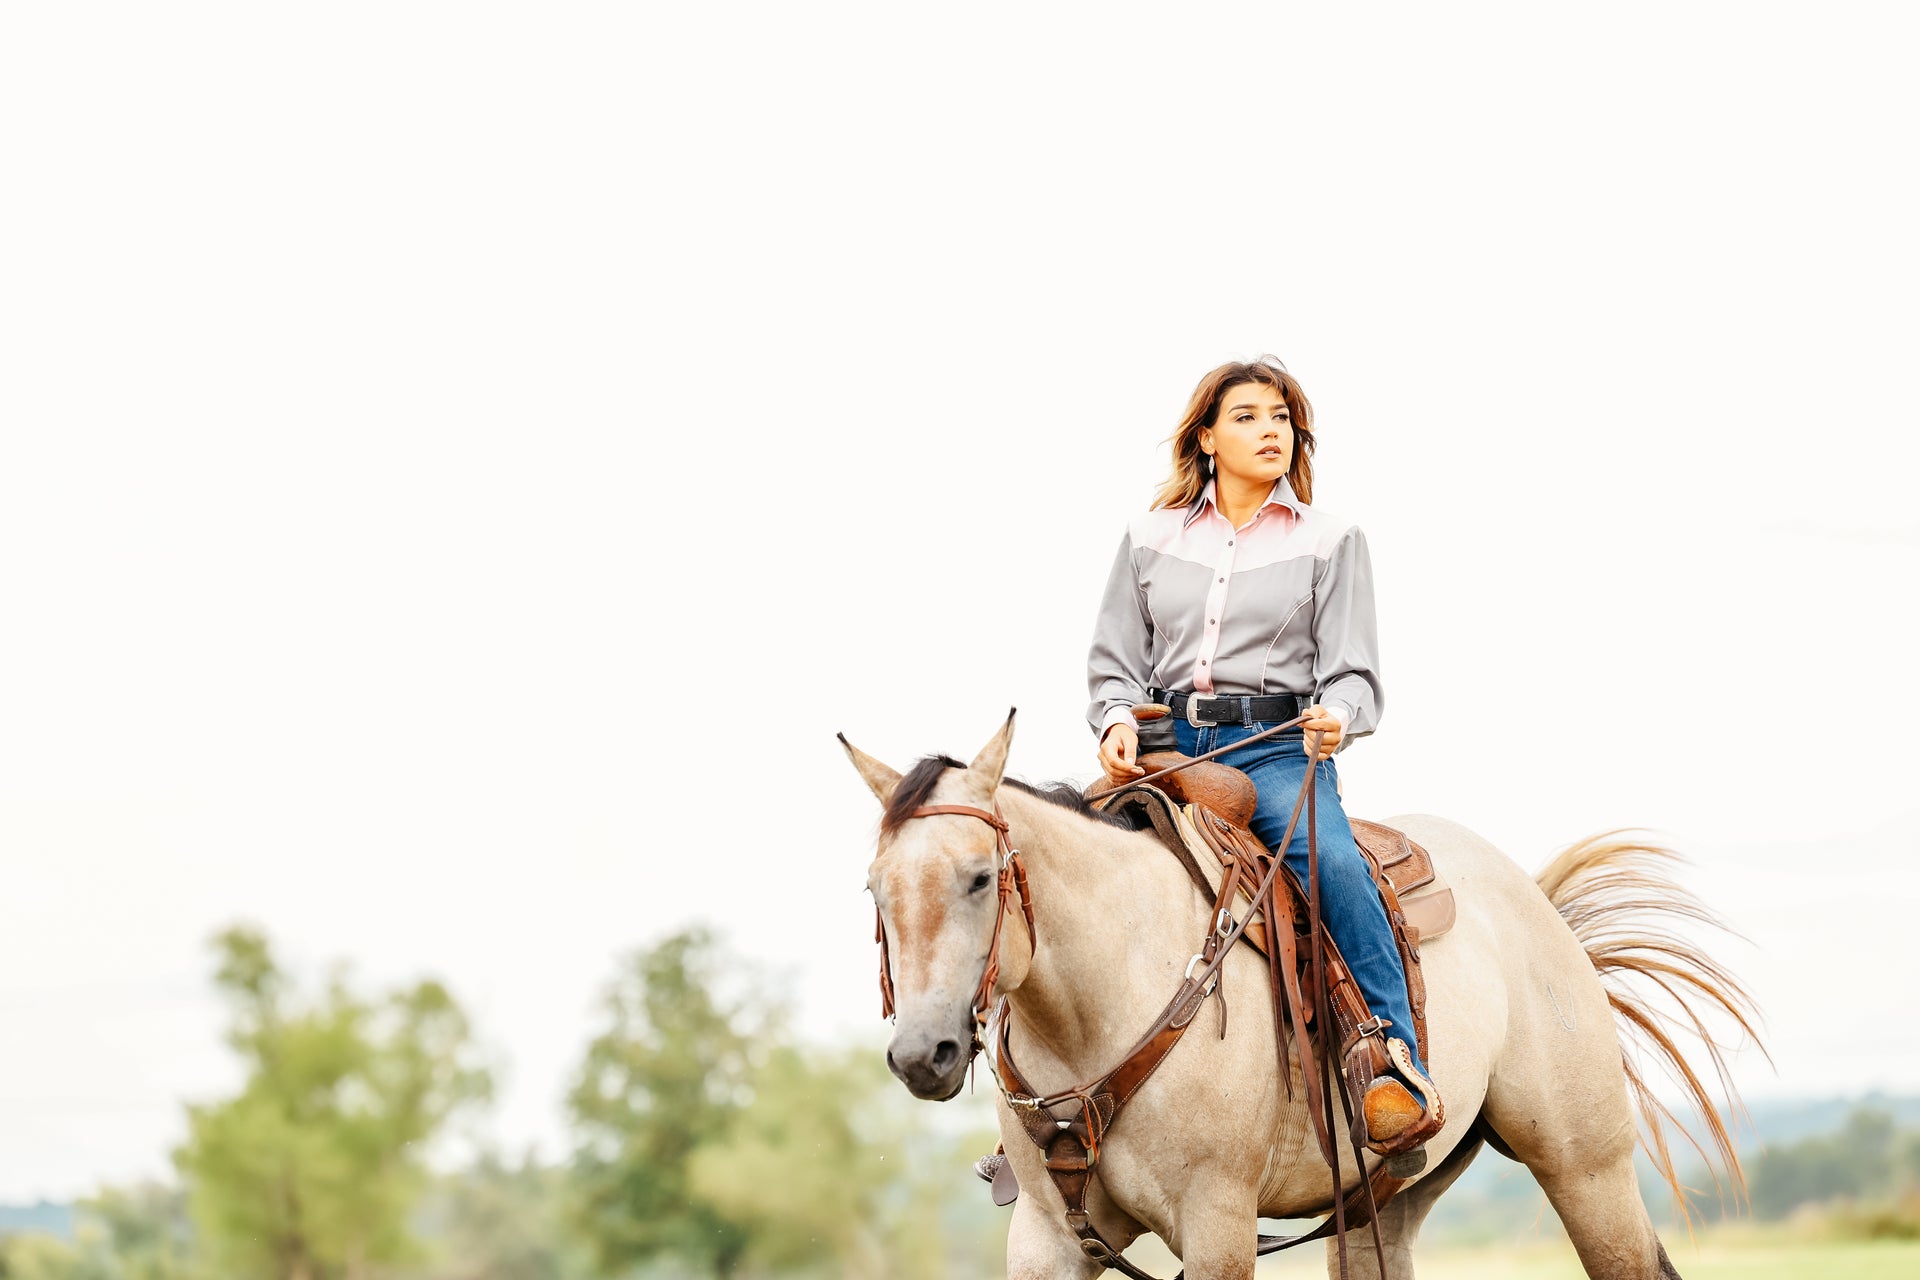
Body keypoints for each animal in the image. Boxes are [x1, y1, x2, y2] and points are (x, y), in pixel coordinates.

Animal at [840, 710, 1758, 1280]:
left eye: (980, 877)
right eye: (874, 889)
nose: (923, 1055)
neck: (1096, 1007)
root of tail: (1535, 903)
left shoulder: (1217, 1226)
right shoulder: (1044, 1236)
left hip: (1585, 1168)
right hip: (1381, 1206)